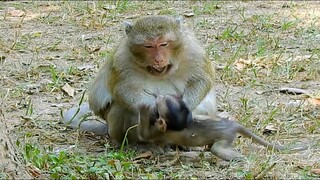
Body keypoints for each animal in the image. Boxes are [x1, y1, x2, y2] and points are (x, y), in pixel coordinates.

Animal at [62, 15, 218, 145]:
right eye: (148, 46)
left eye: (163, 44)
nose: (158, 59)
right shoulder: (122, 60)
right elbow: (124, 90)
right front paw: (154, 111)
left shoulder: (193, 51)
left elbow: (201, 80)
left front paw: (184, 108)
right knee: (120, 109)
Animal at [138, 93, 304, 161]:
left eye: (163, 101)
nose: (158, 96)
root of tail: (233, 124)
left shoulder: (162, 131)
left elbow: (145, 135)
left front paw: (143, 109)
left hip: (226, 136)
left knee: (217, 149)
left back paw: (241, 159)